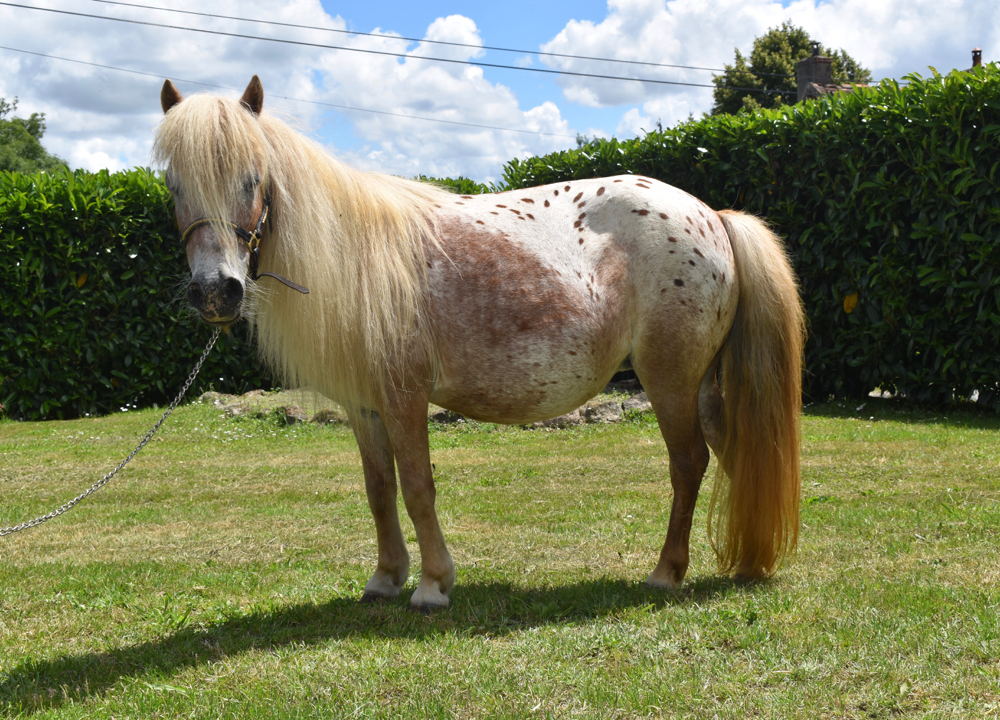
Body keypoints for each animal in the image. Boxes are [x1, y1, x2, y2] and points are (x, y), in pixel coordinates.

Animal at [154, 77, 804, 608]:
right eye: (174, 185)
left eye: (251, 178)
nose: (216, 292)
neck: (356, 257)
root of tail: (712, 216)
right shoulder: (365, 407)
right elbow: (379, 490)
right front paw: (385, 578)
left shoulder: (404, 398)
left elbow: (418, 487)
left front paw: (432, 585)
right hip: (701, 384)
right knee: (732, 449)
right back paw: (747, 562)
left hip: (669, 381)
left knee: (689, 462)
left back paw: (666, 573)